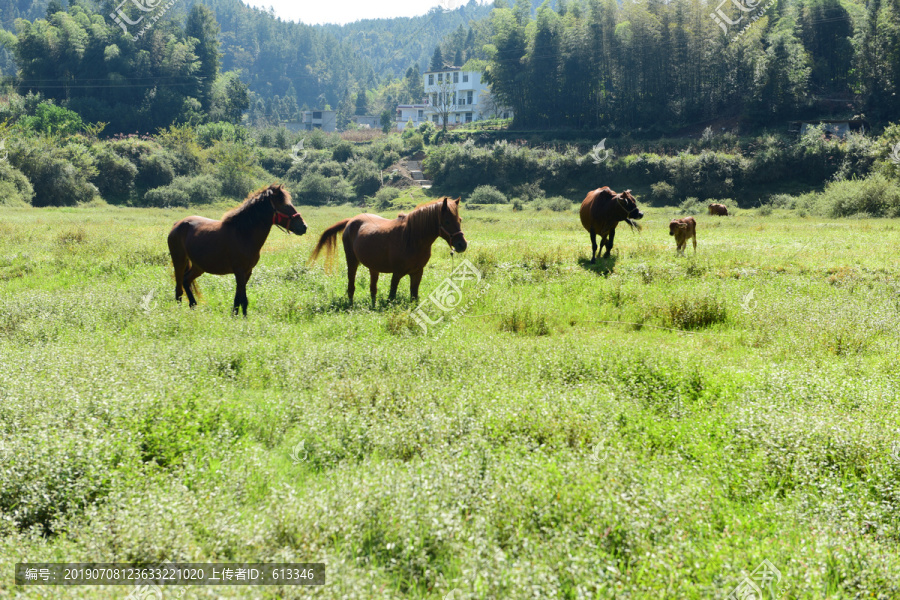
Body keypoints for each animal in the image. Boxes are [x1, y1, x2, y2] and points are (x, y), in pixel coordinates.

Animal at [167, 183, 307, 315]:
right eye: (284, 205)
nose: (304, 226)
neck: (243, 234)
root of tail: (177, 224)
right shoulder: (239, 271)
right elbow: (243, 299)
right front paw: (243, 319)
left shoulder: (247, 272)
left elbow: (238, 298)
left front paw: (235, 316)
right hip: (179, 261)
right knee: (178, 289)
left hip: (198, 266)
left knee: (186, 281)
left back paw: (193, 305)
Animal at [310, 197, 466, 306]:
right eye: (447, 221)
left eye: (460, 219)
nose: (462, 244)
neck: (411, 238)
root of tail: (351, 221)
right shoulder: (396, 273)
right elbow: (392, 295)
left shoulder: (417, 272)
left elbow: (414, 296)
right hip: (352, 261)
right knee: (351, 285)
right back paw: (351, 305)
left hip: (373, 267)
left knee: (373, 289)